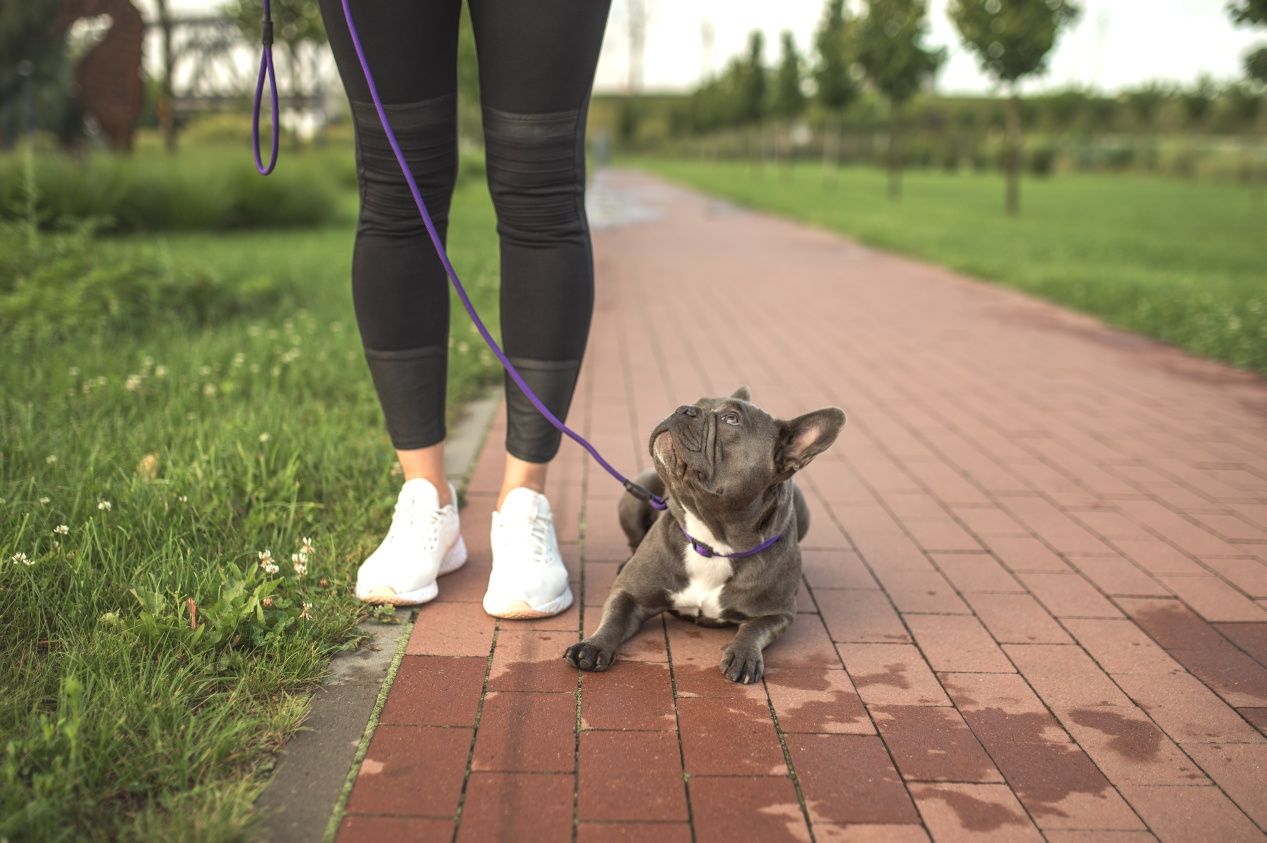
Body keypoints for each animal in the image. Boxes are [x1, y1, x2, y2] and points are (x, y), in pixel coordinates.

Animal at [562, 387, 841, 684]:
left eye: (732, 419)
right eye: (699, 403)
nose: (684, 409)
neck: (713, 541)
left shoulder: (778, 613)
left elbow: (753, 629)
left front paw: (744, 654)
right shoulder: (630, 594)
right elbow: (613, 618)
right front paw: (593, 645)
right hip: (637, 491)